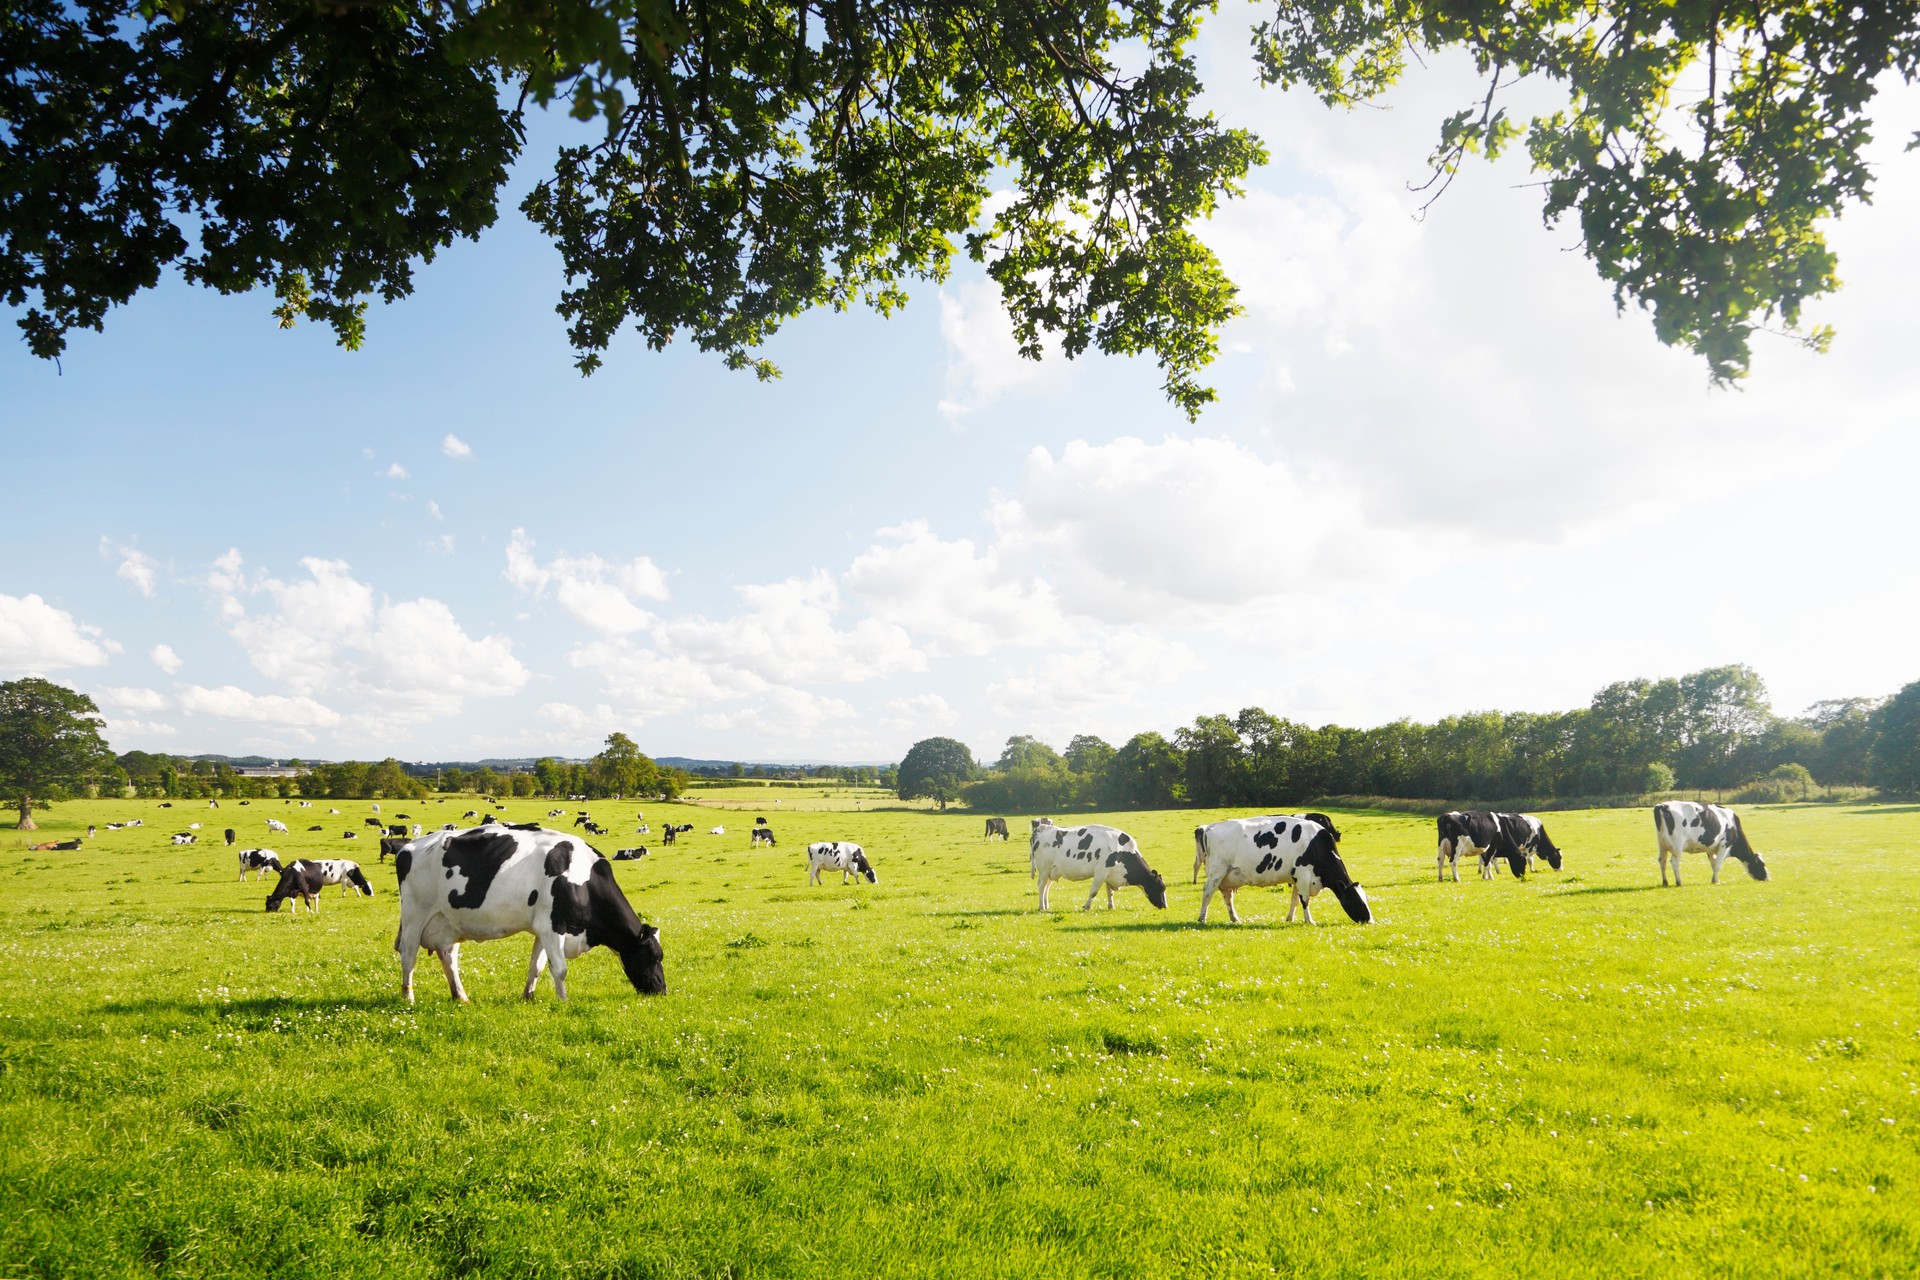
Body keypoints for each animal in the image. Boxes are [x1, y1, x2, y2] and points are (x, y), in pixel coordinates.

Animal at [389, 825, 668, 1005]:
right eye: (654, 956)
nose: (662, 990)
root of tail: (409, 846)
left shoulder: (543, 928)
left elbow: (537, 966)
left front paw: (528, 997)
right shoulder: (554, 926)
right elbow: (560, 969)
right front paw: (564, 1002)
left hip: (449, 922)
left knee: (448, 957)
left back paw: (461, 997)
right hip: (414, 915)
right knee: (408, 956)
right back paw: (408, 998)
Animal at [1029, 821, 1159, 909]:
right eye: (1160, 887)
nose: (1163, 905)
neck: (1121, 851)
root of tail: (1042, 828)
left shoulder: (1109, 874)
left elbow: (1109, 892)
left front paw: (1111, 906)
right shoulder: (1100, 872)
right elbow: (1093, 892)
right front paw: (1086, 906)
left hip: (1052, 871)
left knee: (1046, 888)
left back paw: (1046, 906)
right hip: (1044, 870)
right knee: (1041, 886)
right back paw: (1041, 907)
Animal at [1190, 817, 1374, 924]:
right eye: (1356, 900)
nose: (1370, 921)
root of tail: (1209, 826)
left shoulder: (1296, 878)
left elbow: (1294, 900)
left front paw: (1290, 919)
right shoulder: (1303, 875)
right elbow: (1305, 900)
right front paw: (1310, 921)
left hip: (1228, 876)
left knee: (1227, 897)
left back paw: (1235, 919)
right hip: (1217, 871)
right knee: (1207, 892)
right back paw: (1202, 918)